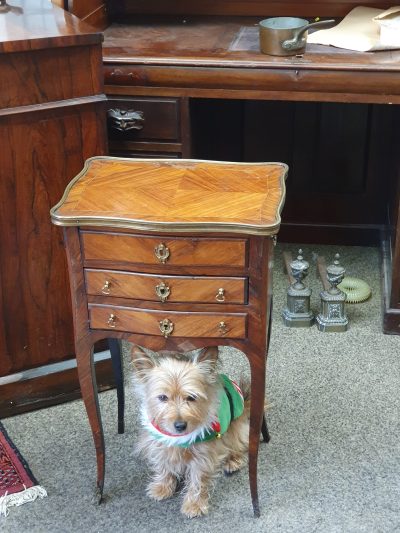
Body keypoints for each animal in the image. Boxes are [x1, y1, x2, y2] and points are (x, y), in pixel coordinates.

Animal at [131, 344, 250, 516]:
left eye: (192, 397)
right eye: (162, 397)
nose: (180, 425)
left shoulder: (203, 455)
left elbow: (197, 480)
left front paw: (194, 504)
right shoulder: (159, 444)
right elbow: (163, 465)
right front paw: (163, 486)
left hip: (235, 427)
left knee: (238, 443)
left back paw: (233, 460)